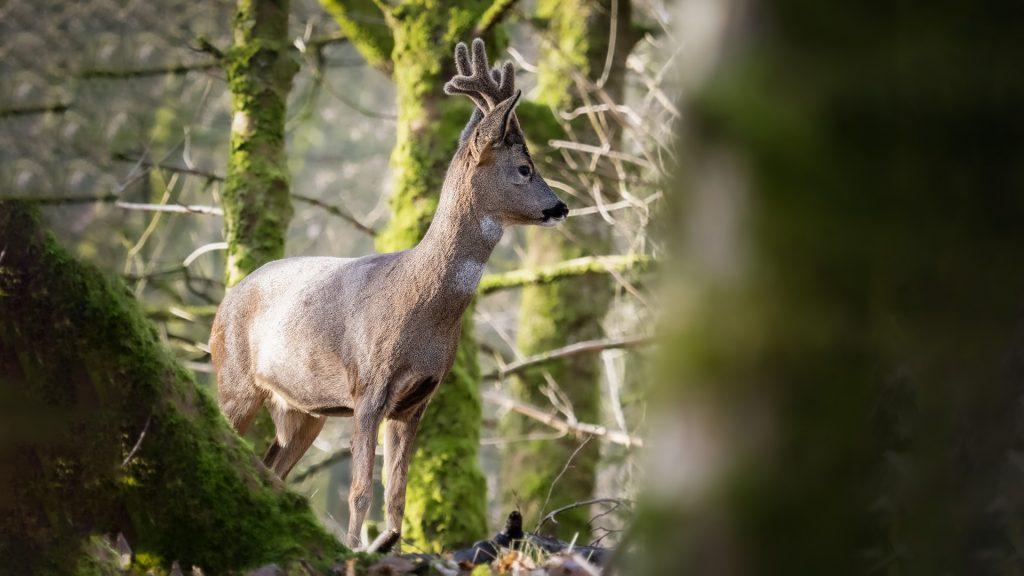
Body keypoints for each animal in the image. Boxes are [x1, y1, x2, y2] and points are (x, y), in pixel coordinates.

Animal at [209, 38, 568, 550]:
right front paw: (358, 549)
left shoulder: (417, 399)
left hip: (303, 409)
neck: (421, 304)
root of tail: (225, 300)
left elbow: (397, 494)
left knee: (271, 468)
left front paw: (392, 545)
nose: (561, 206)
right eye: (524, 168)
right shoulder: (368, 386)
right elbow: (361, 490)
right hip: (235, 378)